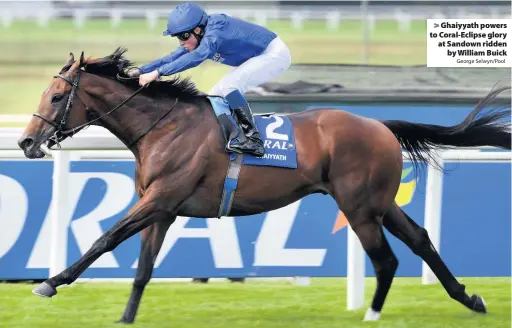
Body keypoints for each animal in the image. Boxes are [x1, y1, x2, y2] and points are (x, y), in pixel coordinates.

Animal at [18, 48, 510, 322]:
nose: (25, 141)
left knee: (385, 258)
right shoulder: (163, 209)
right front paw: (124, 318)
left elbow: (105, 238)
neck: (165, 127)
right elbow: (142, 269)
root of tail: (380, 126)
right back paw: (469, 299)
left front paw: (51, 282)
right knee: (421, 240)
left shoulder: (160, 199)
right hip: (379, 202)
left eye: (57, 97)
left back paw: (372, 314)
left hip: (358, 206)